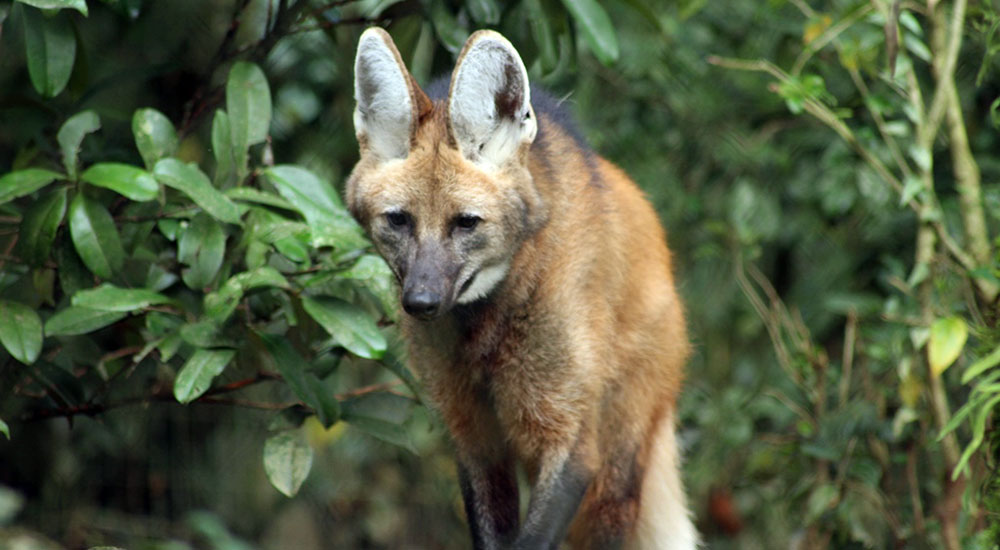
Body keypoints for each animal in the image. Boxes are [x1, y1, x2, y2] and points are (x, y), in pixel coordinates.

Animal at [344, 27, 696, 550]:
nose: (421, 302)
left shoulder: (570, 439)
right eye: (399, 221)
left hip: (617, 459)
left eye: (466, 223)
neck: (487, 325)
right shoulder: (473, 438)